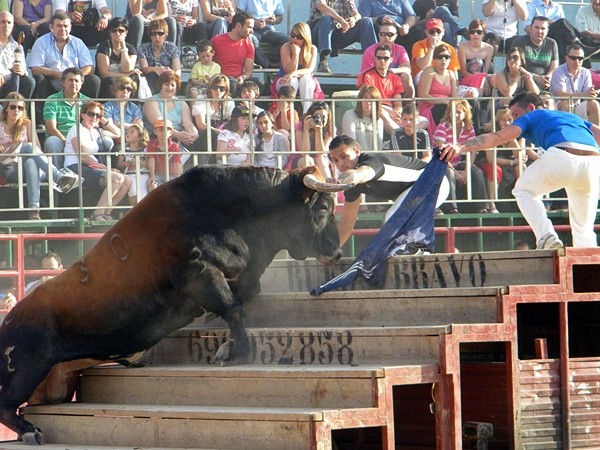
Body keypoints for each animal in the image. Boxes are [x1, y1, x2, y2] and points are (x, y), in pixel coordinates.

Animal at [0, 164, 350, 442]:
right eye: (322, 209)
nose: (336, 253)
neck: (227, 212)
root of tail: (10, 319)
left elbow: (237, 305)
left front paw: (227, 345)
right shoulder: (200, 274)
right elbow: (232, 309)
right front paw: (236, 351)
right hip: (27, 366)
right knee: (6, 407)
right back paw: (31, 432)